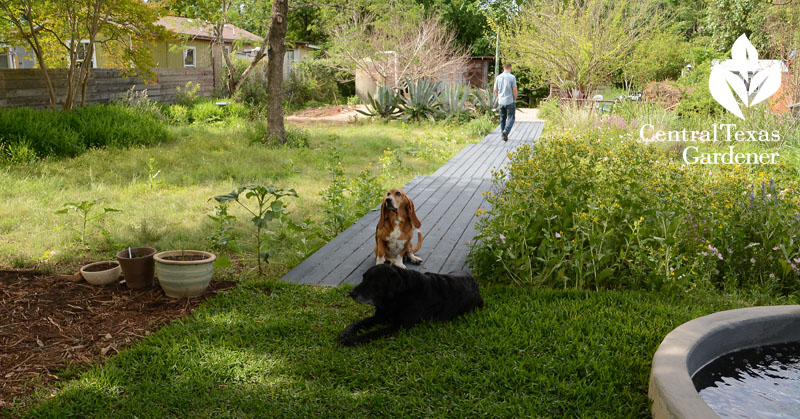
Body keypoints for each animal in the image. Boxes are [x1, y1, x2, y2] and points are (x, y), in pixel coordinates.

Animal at [338, 266, 482, 348]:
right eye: (363, 278)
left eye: (373, 281)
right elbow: (357, 324)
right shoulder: (379, 316)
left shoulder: (399, 326)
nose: (351, 293)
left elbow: (371, 334)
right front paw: (345, 333)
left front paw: (351, 340)